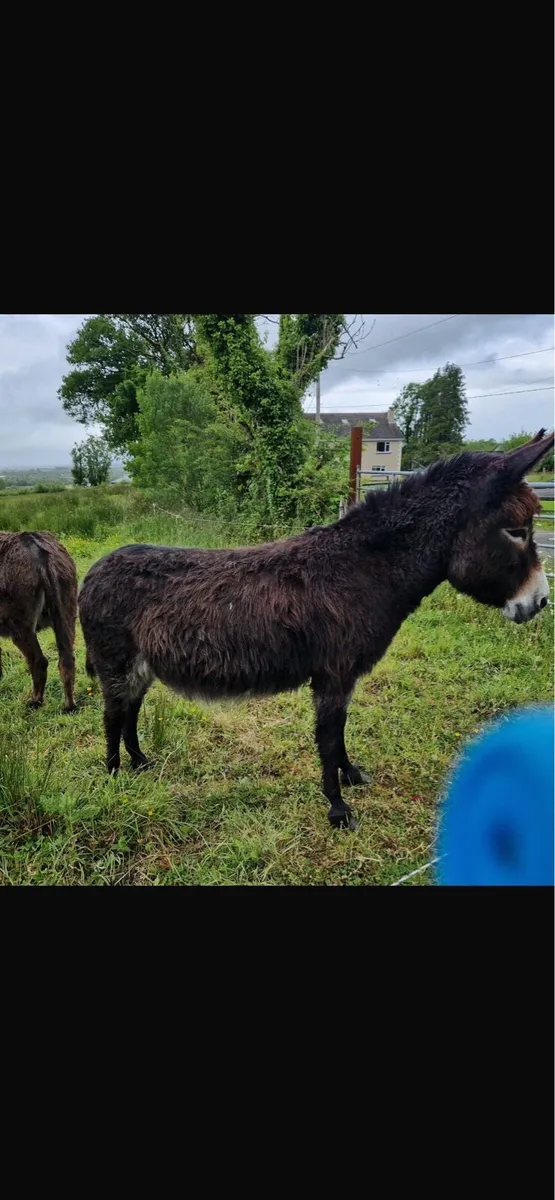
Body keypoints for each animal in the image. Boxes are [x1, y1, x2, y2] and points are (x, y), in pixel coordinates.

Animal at [0, 531, 77, 711]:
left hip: (21, 627)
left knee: (39, 662)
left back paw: (35, 701)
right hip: (67, 614)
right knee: (67, 660)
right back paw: (69, 706)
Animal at [78, 430, 553, 829]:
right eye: (516, 531)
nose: (541, 602)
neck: (362, 569)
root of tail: (94, 570)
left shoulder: (342, 676)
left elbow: (339, 733)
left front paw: (351, 775)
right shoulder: (333, 674)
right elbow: (326, 737)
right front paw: (338, 808)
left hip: (140, 665)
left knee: (130, 711)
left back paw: (139, 762)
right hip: (116, 662)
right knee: (112, 715)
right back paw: (114, 775)